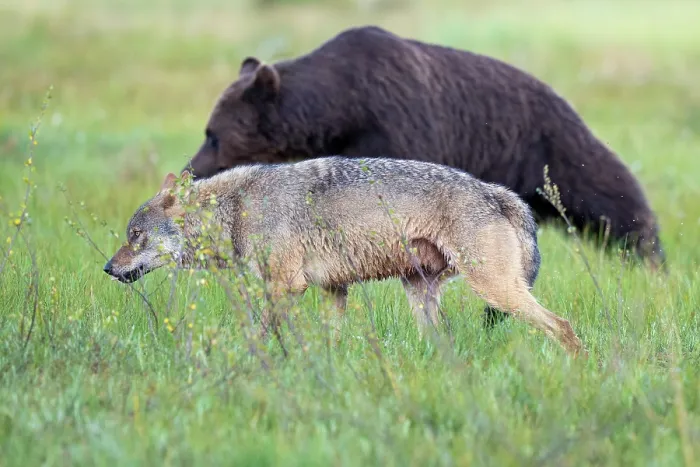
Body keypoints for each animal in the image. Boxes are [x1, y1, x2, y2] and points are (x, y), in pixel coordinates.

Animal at [104, 156, 585, 356]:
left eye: (135, 236)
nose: (108, 268)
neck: (237, 206)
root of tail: (499, 193)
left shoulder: (285, 286)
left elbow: (261, 336)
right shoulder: (333, 290)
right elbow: (329, 342)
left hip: (494, 291)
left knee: (562, 326)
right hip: (421, 295)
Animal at [183, 25, 665, 273]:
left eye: (212, 134)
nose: (191, 169)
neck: (340, 109)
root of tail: (559, 94)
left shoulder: (398, 123)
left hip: (548, 145)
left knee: (606, 192)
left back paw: (648, 256)